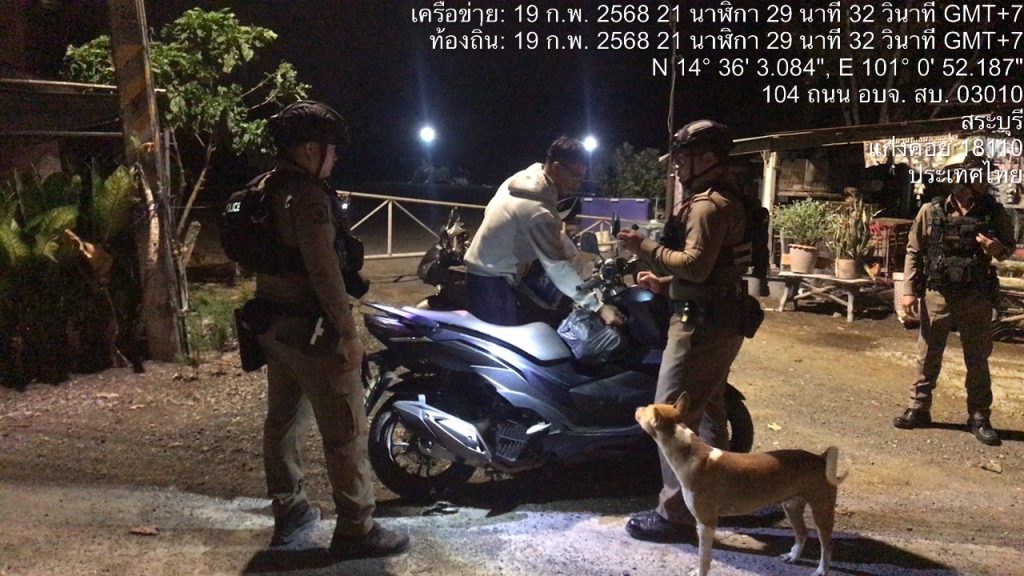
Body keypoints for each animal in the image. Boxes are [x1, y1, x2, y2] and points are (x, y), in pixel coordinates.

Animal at [635, 393, 846, 576]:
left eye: (646, 408)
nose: (637, 408)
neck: (691, 454)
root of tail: (820, 458)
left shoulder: (706, 523)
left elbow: (704, 558)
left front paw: (700, 571)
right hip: (791, 506)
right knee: (802, 533)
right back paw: (793, 556)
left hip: (821, 511)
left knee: (827, 545)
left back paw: (821, 570)